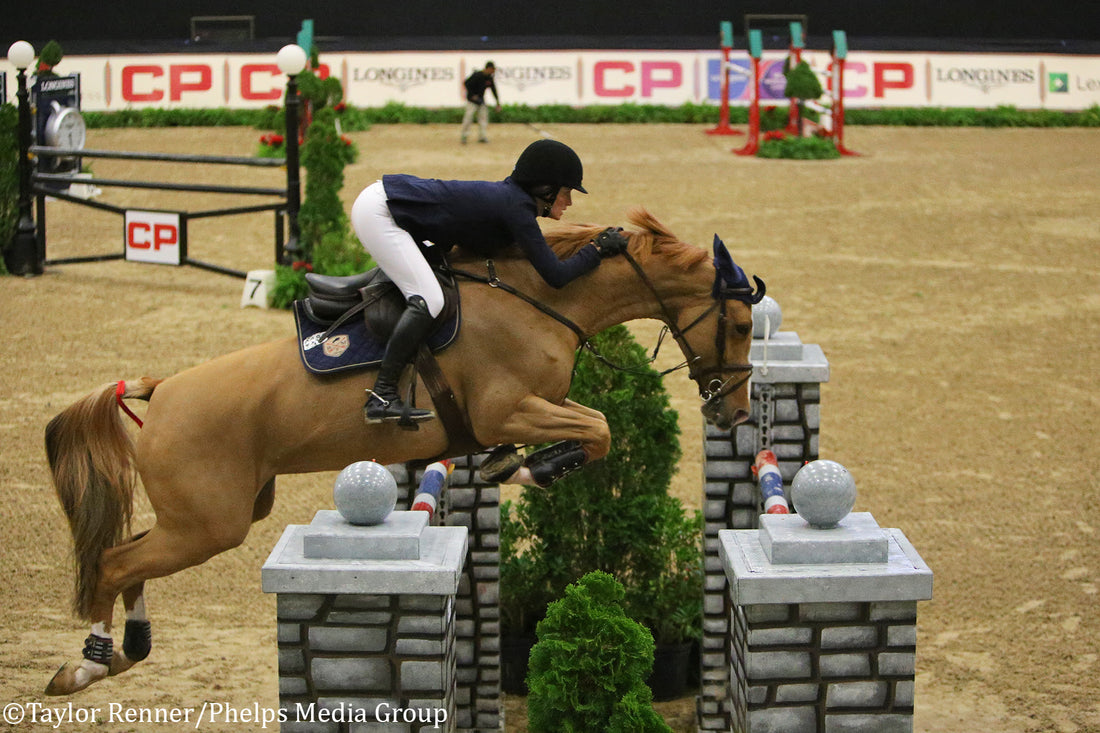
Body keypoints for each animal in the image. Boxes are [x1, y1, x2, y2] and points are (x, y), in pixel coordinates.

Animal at [42, 205, 765, 691]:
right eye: (738, 322)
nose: (733, 410)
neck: (540, 298)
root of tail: (160, 390)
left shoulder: (523, 408)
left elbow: (594, 427)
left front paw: (512, 463)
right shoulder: (510, 405)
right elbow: (600, 428)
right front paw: (532, 468)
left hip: (222, 514)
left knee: (127, 562)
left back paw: (128, 649)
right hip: (207, 525)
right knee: (113, 561)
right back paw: (85, 667)